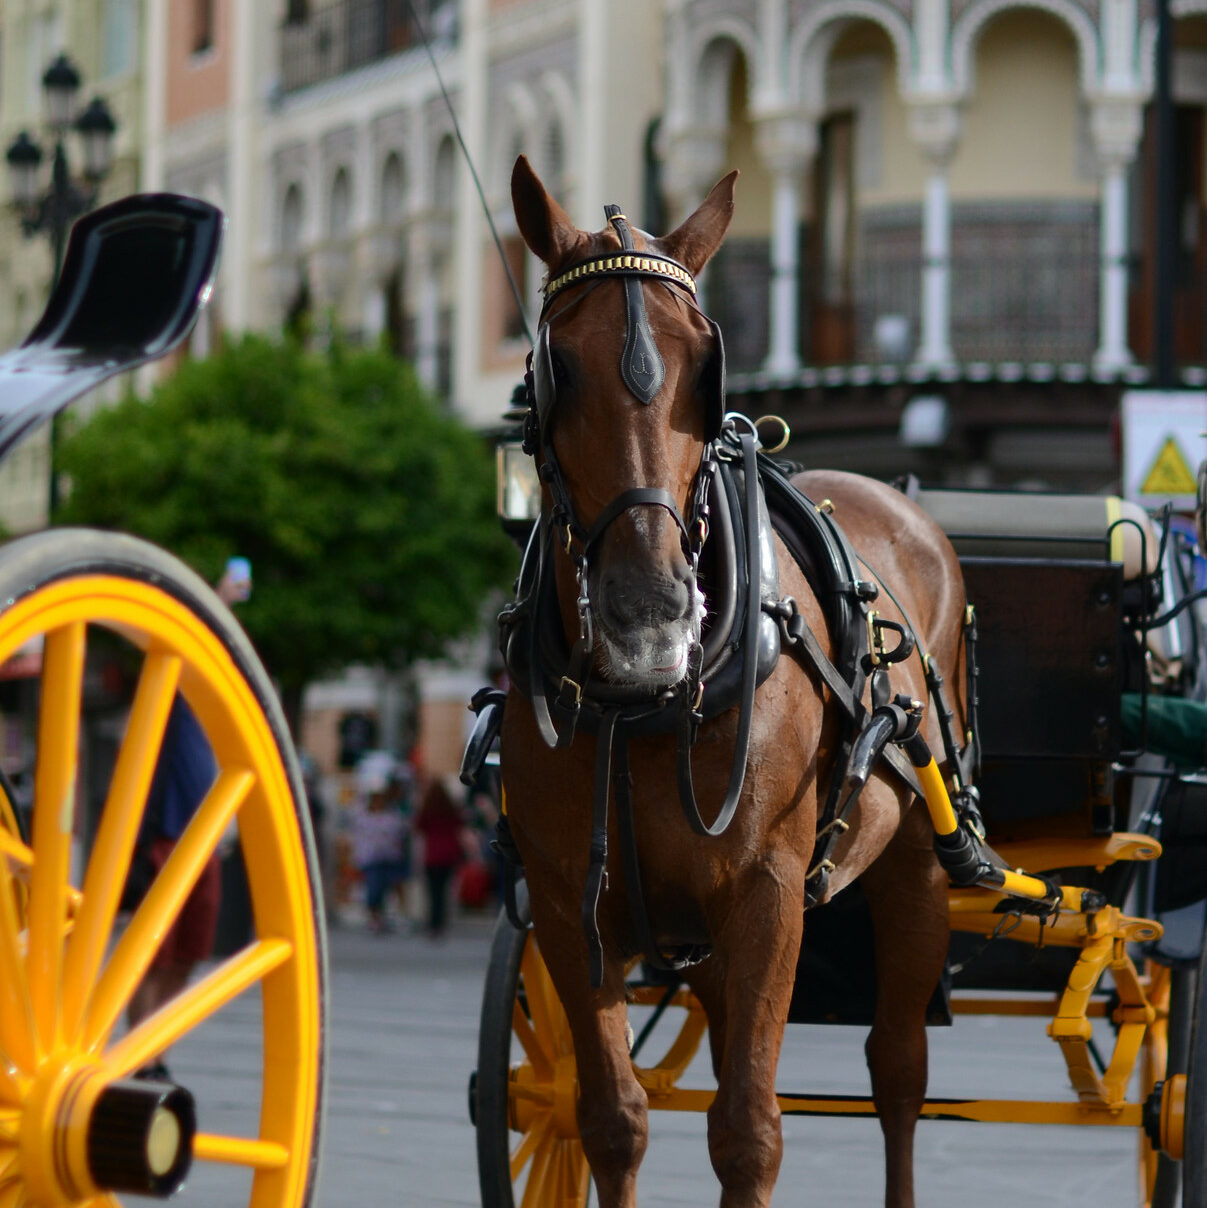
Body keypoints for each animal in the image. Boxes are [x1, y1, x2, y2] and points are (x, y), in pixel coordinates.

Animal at [500, 155, 971, 1208]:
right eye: (558, 367)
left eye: (701, 367)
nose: (649, 612)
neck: (639, 707)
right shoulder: (566, 904)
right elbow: (612, 1121)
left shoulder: (765, 894)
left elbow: (748, 1132)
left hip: (915, 868)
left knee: (900, 1071)